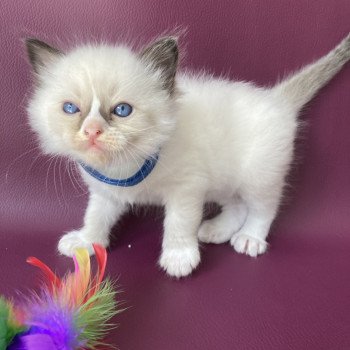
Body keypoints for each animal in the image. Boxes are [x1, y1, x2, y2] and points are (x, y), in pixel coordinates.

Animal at [26, 34, 350, 278]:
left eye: (122, 110)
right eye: (71, 109)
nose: (92, 131)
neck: (125, 165)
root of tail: (276, 99)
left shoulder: (186, 188)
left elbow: (179, 224)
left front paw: (179, 257)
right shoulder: (107, 193)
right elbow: (95, 217)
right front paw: (85, 241)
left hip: (259, 176)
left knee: (263, 209)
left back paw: (249, 238)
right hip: (224, 180)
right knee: (237, 206)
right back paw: (216, 230)